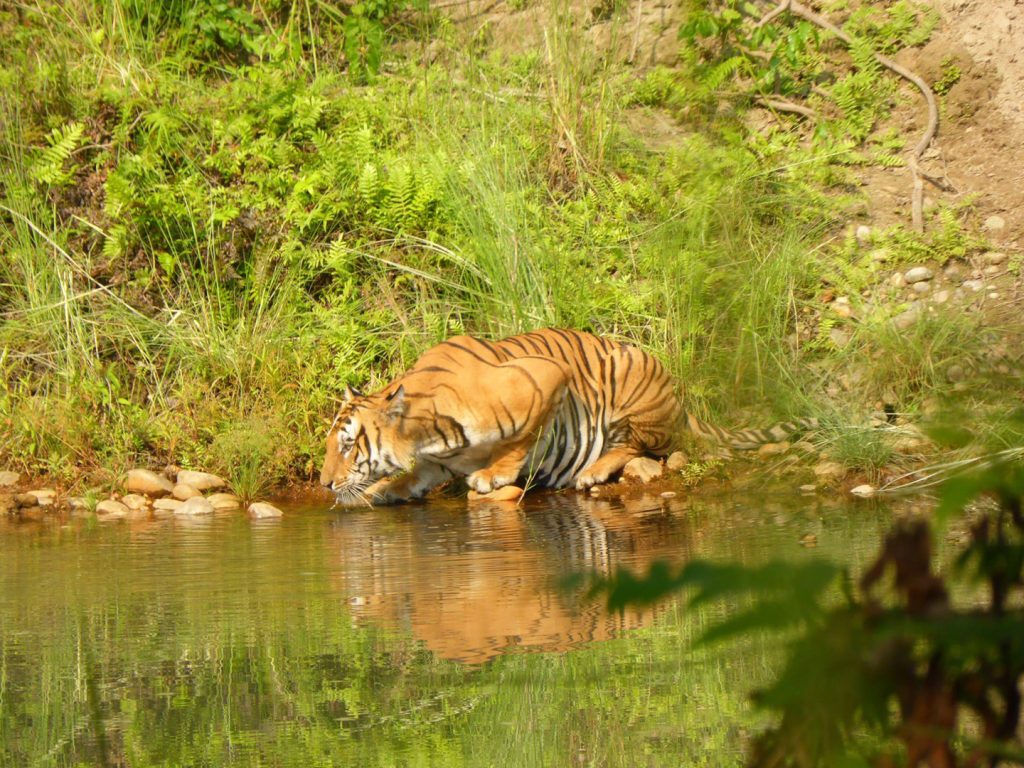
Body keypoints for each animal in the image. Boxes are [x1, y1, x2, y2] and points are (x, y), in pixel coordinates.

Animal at [319, 329, 815, 505]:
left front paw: (493, 474)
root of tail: (677, 393)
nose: (323, 484)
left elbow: (520, 441)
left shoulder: (546, 378)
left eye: (348, 444)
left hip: (628, 387)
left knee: (638, 445)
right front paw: (382, 489)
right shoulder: (435, 464)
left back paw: (592, 471)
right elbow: (410, 478)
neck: (425, 435)